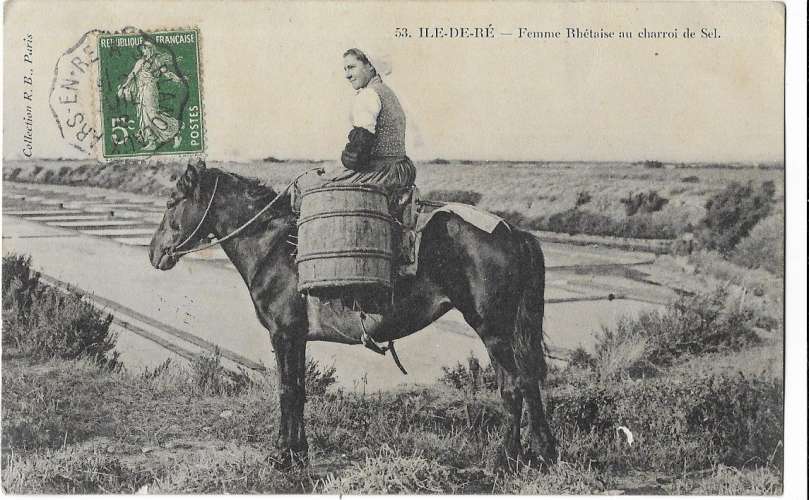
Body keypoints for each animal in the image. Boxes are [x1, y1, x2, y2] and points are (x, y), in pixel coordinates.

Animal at [148, 162, 556, 466]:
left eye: (170, 202)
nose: (154, 253)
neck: (274, 247)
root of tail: (513, 231)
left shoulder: (283, 333)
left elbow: (287, 389)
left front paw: (282, 454)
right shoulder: (297, 338)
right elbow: (299, 390)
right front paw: (299, 452)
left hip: (492, 330)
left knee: (513, 385)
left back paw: (505, 458)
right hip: (511, 331)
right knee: (530, 381)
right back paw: (543, 453)